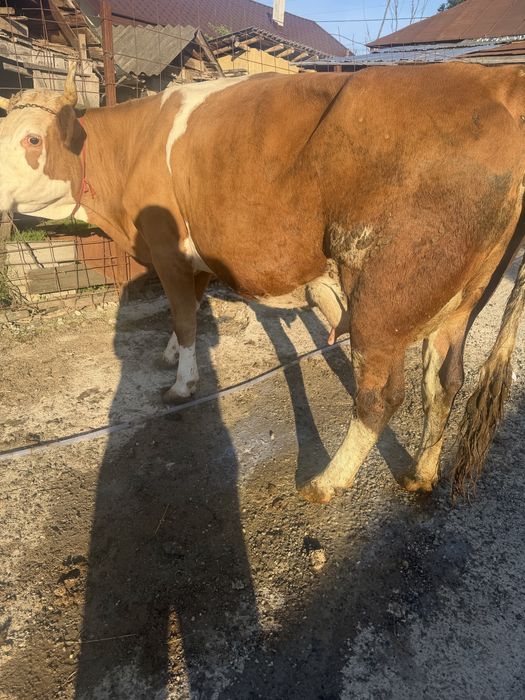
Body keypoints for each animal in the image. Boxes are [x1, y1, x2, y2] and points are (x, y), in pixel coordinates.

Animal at [0, 62, 524, 503]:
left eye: (32, 139)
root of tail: (493, 78)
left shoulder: (168, 249)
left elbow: (185, 318)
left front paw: (182, 383)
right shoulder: (195, 257)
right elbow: (188, 310)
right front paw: (170, 354)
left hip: (383, 298)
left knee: (382, 396)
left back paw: (326, 482)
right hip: (463, 300)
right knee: (445, 381)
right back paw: (421, 474)